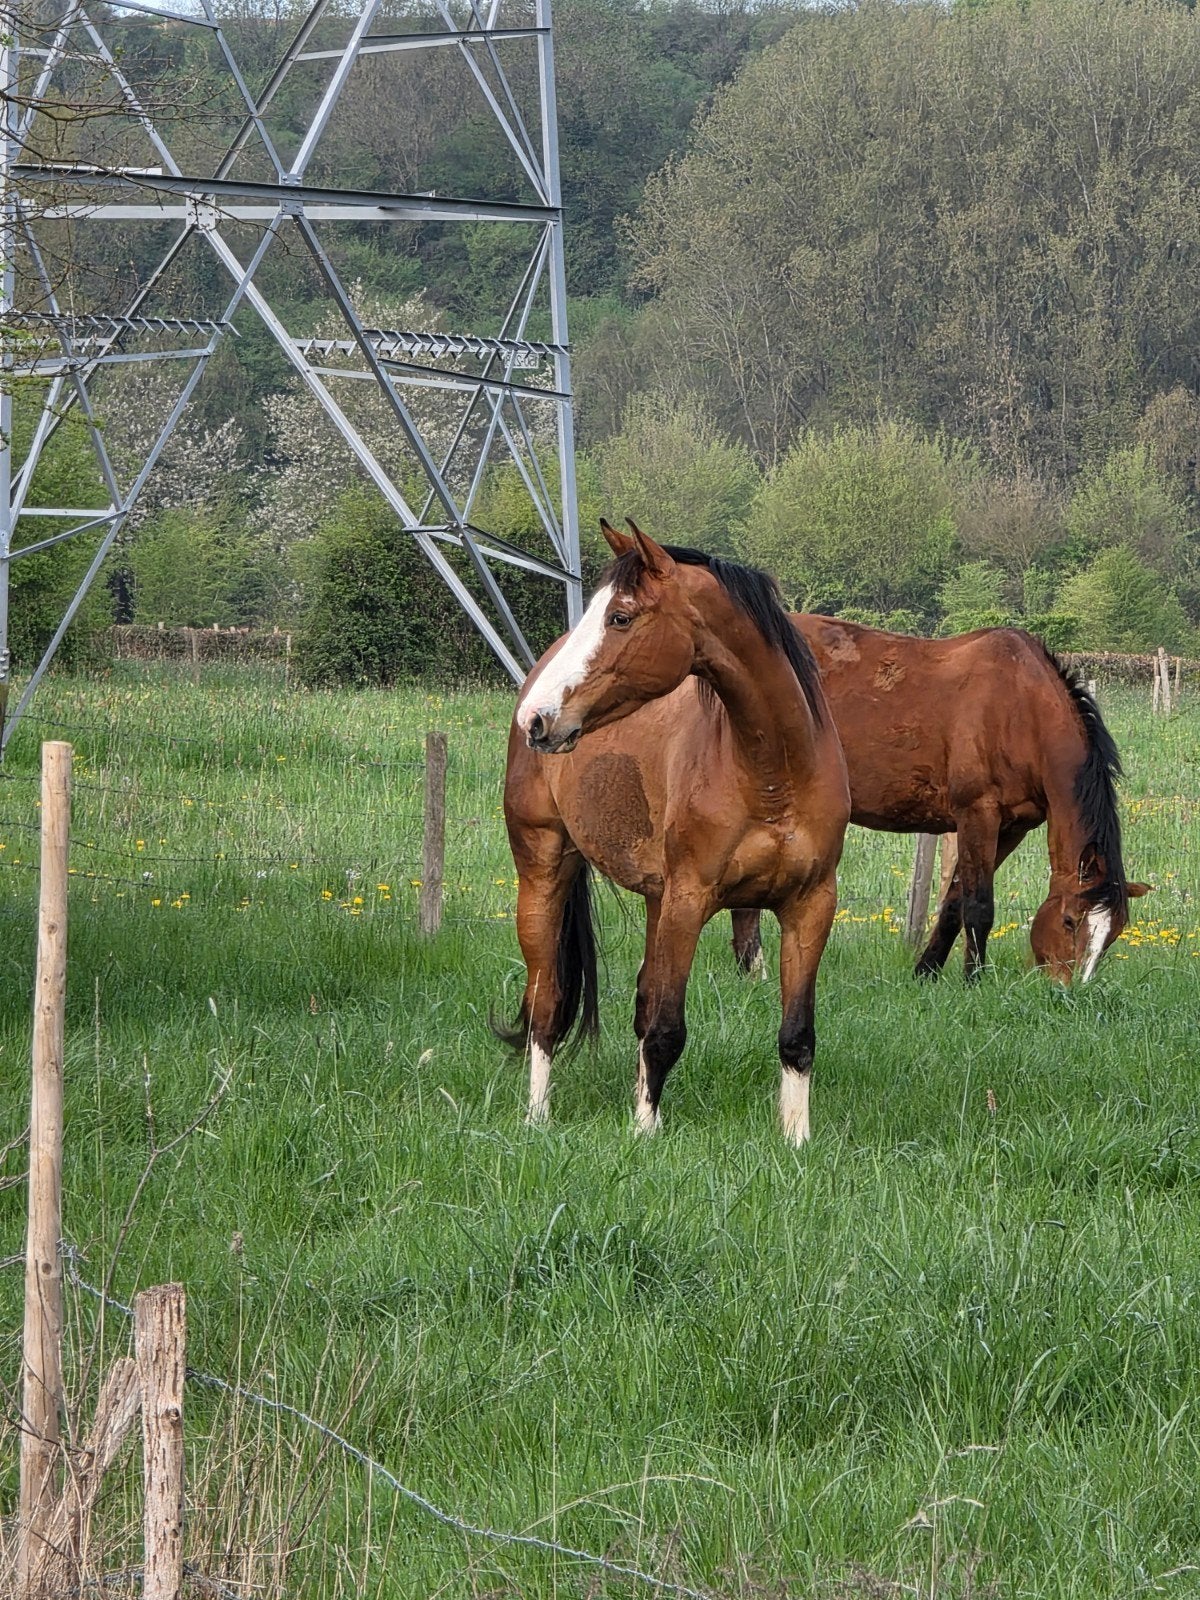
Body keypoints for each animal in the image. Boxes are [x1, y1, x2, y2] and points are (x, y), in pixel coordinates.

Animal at [497, 520, 850, 1143]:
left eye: (620, 617)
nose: (538, 718)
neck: (773, 774)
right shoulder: (690, 901)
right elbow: (665, 1027)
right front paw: (645, 1133)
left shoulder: (810, 906)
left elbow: (797, 1037)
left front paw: (797, 1140)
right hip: (543, 873)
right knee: (546, 1004)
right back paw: (538, 1116)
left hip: (655, 900)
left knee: (637, 1000)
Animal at [729, 618, 1148, 984]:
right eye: (1069, 921)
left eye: (1112, 936)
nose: (1066, 990)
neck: (1022, 708)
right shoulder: (977, 814)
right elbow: (978, 906)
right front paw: (973, 980)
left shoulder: (1010, 828)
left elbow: (953, 903)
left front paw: (926, 972)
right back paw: (754, 972)